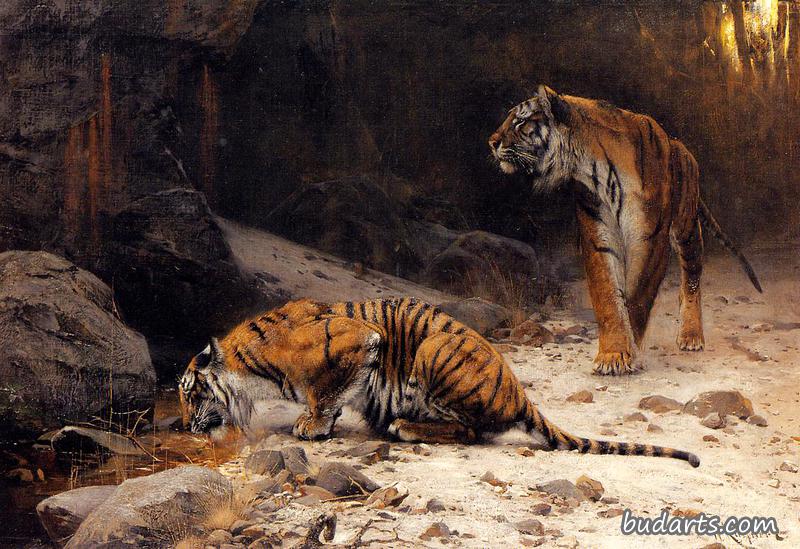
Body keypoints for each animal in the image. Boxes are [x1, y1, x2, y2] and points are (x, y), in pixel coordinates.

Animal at [179, 297, 700, 467]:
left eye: (189, 394)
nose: (184, 427)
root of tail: (519, 392)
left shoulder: (359, 341)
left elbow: (326, 392)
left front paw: (312, 425)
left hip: (434, 352)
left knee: (469, 431)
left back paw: (404, 426)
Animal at [488, 85, 762, 375]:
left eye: (520, 122)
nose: (491, 142)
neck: (593, 169)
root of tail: (680, 147)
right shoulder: (598, 238)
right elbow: (608, 296)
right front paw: (612, 354)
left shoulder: (650, 239)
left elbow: (639, 296)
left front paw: (631, 350)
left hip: (687, 231)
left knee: (691, 281)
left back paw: (691, 336)